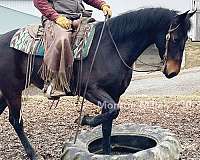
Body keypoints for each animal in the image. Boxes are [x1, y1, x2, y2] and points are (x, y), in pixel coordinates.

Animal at [0, 7, 196, 159]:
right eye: (175, 38)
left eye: (186, 38)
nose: (172, 71)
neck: (111, 47)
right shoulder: (91, 90)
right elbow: (113, 112)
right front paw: (84, 119)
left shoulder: (114, 94)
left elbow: (108, 124)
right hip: (12, 90)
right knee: (16, 121)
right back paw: (33, 154)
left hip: (5, 92)